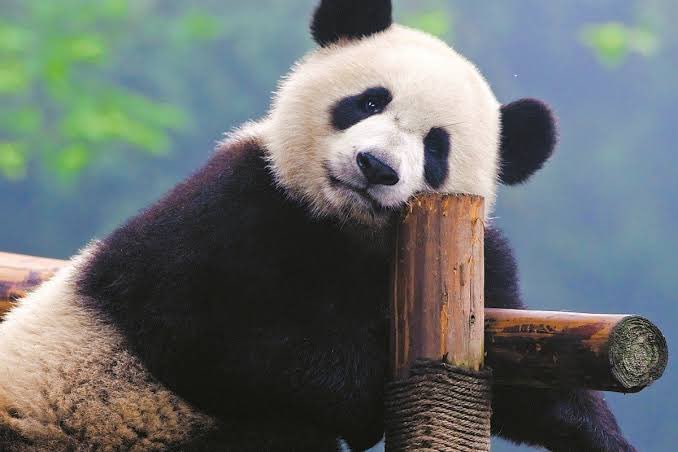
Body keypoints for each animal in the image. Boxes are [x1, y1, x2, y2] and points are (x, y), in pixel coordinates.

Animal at [0, 1, 635, 451]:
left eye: (436, 148)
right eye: (368, 101)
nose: (376, 166)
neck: (342, 226)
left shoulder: (477, 259)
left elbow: (526, 374)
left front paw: (594, 432)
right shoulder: (236, 202)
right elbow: (200, 319)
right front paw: (365, 396)